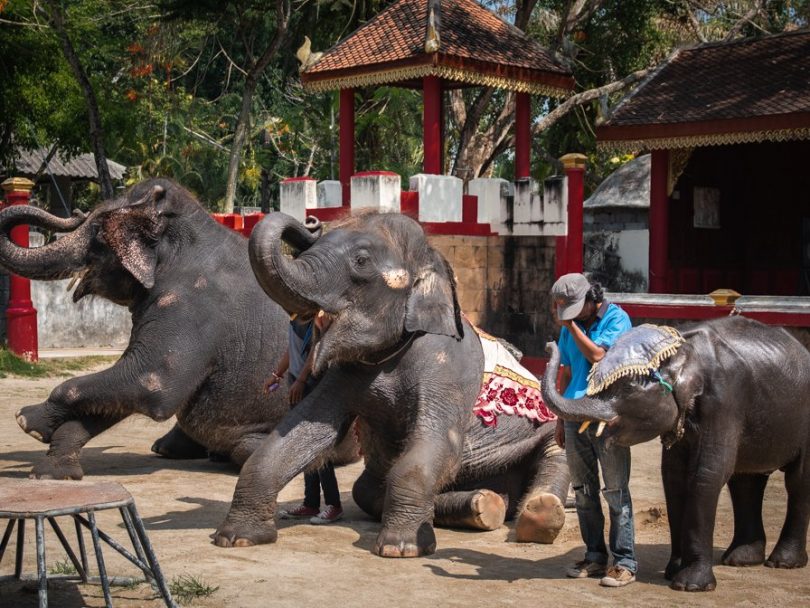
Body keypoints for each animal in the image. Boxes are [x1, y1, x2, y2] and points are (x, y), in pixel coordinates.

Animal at [1, 178, 355, 479]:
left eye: (99, 232)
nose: (74, 212)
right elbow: (127, 388)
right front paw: (53, 471)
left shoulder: (192, 307)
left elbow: (150, 381)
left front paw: (27, 421)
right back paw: (174, 449)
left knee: (246, 449)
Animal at [212, 210, 570, 557]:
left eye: (361, 260)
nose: (311, 221)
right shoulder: (346, 372)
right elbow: (303, 430)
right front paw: (235, 538)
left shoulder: (447, 367)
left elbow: (437, 442)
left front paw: (401, 548)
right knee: (366, 489)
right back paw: (483, 504)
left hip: (545, 433)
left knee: (556, 455)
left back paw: (538, 515)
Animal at [540, 317, 810, 591]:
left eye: (627, 388)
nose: (549, 344)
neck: (683, 351)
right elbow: (673, 477)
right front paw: (672, 572)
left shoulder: (724, 403)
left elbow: (707, 475)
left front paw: (689, 585)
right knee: (745, 481)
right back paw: (741, 559)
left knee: (797, 482)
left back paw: (782, 562)